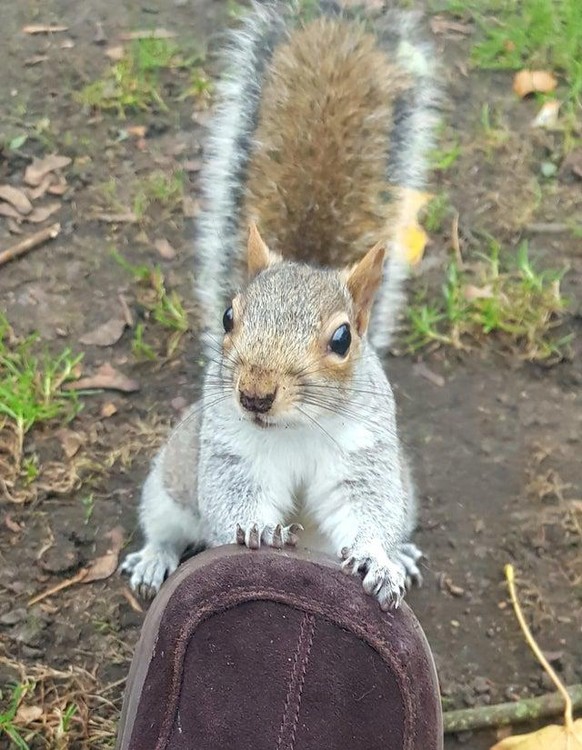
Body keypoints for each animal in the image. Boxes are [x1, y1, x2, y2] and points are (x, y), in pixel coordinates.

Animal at [121, 0, 440, 612]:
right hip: (168, 482)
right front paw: (260, 530)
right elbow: (231, 498)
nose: (255, 394)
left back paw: (404, 554)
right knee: (164, 524)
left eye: (342, 339)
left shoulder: (364, 455)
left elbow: (367, 508)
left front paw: (379, 559)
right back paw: (154, 558)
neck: (296, 427)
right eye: (228, 316)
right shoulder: (231, 452)